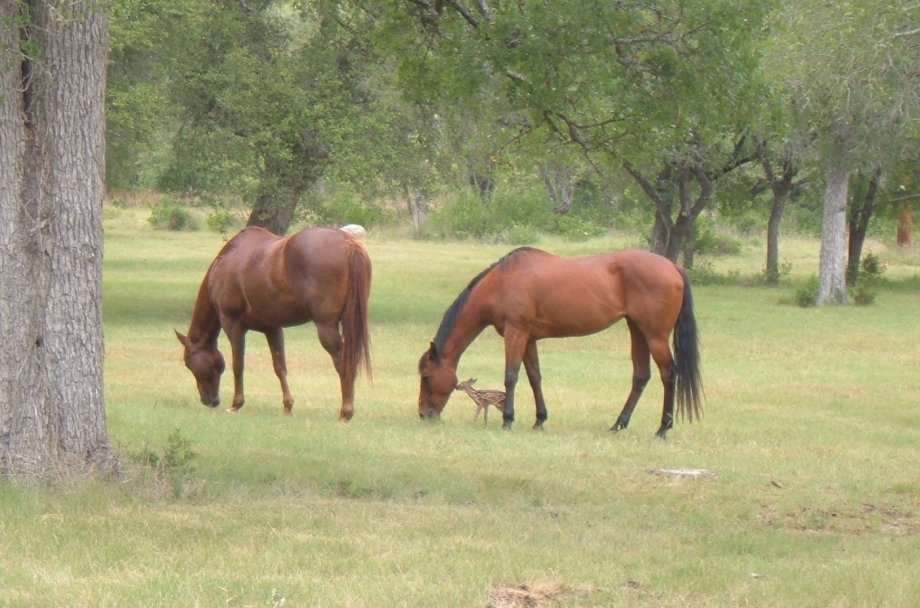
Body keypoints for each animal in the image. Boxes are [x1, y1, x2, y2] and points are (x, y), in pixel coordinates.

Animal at [176, 226, 370, 420]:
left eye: (188, 363)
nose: (209, 401)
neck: (227, 261)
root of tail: (347, 242)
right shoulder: (272, 328)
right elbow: (280, 367)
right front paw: (288, 406)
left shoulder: (233, 324)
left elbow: (238, 364)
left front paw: (236, 404)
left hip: (326, 327)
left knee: (343, 361)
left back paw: (346, 411)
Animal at [418, 247, 704, 436]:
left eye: (427, 377)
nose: (424, 414)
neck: (501, 283)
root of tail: (672, 266)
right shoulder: (528, 338)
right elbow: (534, 377)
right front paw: (539, 420)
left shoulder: (515, 333)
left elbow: (511, 376)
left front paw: (508, 420)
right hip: (637, 330)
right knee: (641, 376)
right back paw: (617, 425)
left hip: (655, 335)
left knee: (669, 374)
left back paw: (663, 428)